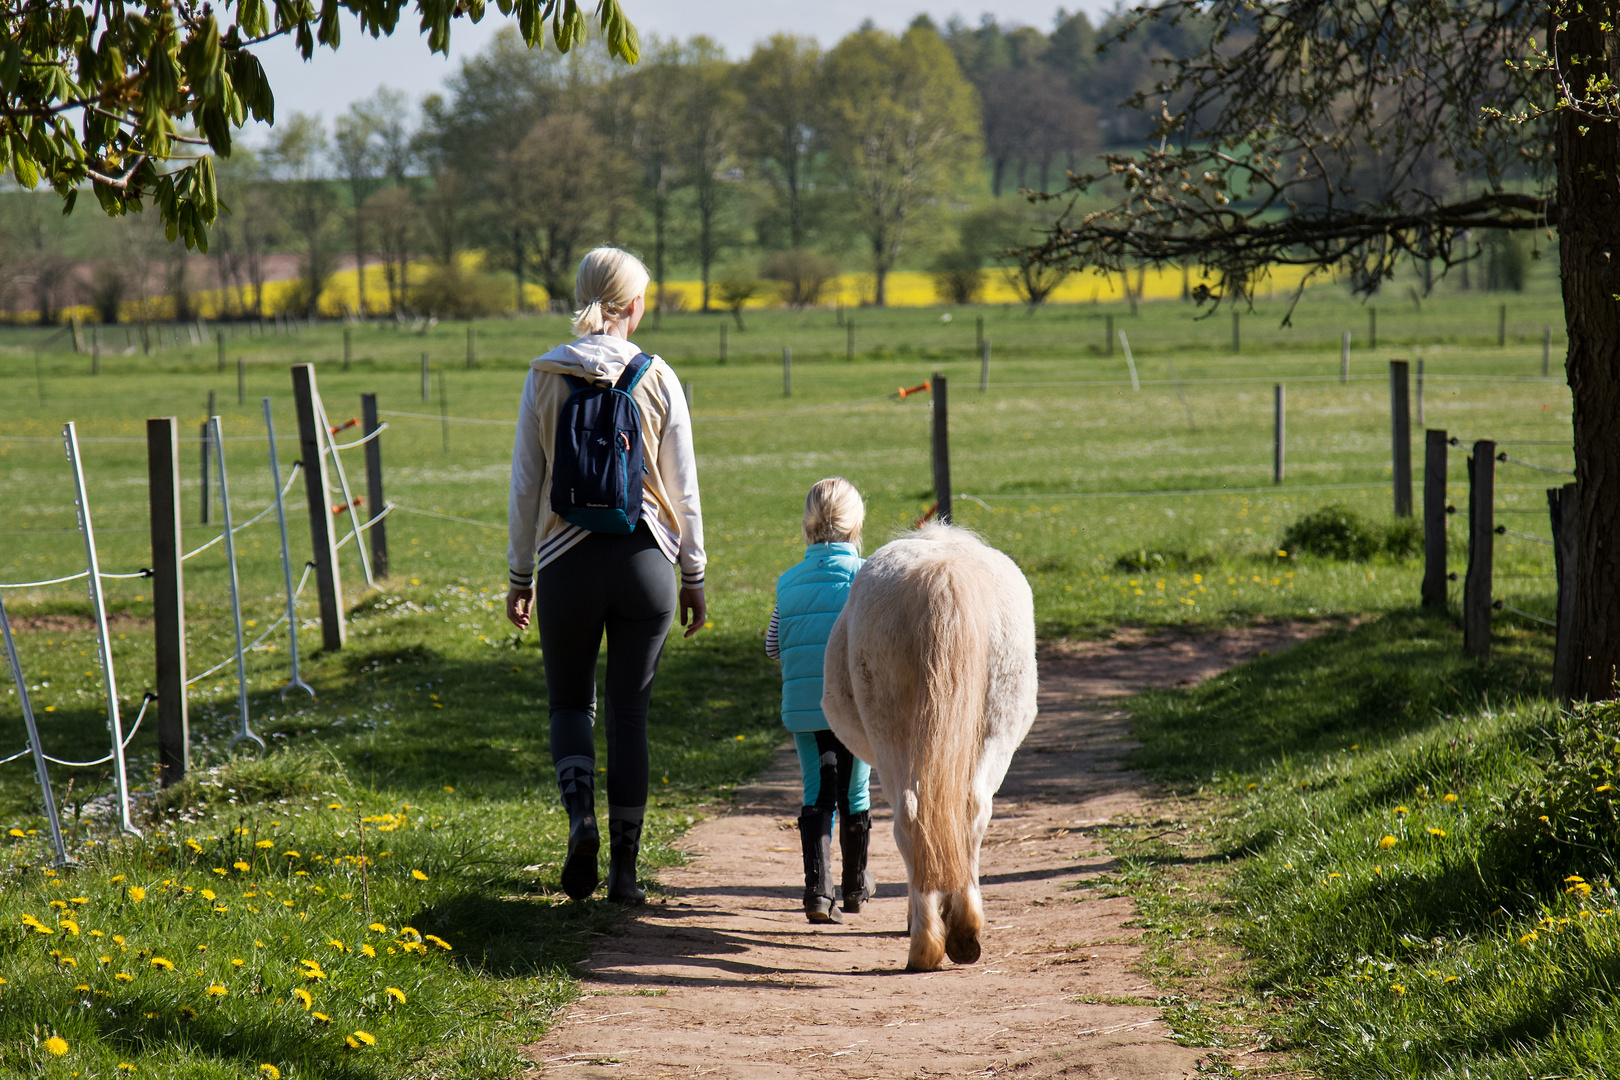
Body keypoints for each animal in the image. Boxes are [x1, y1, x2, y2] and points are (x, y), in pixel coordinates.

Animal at [822, 524, 1036, 971]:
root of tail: (941, 569)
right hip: (994, 732)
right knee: (970, 812)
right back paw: (961, 931)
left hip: (892, 740)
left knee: (912, 817)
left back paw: (926, 938)